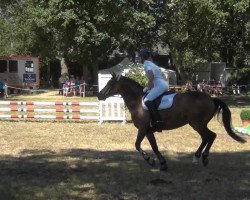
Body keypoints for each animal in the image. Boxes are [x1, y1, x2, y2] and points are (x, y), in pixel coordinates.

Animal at [97, 73, 246, 170]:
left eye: (110, 83)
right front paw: (162, 163)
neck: (138, 101)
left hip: (197, 123)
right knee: (207, 137)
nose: (99, 95)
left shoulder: (142, 128)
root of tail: (211, 98)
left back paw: (201, 157)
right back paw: (198, 157)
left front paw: (150, 160)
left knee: (210, 136)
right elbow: (154, 147)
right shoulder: (148, 131)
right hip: (198, 124)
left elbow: (137, 145)